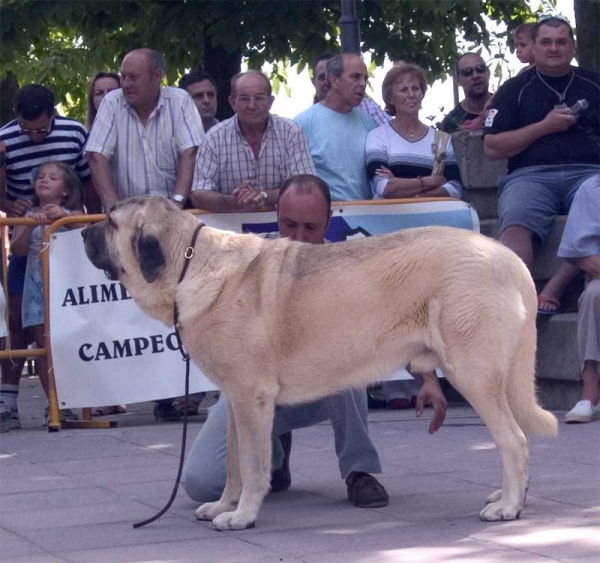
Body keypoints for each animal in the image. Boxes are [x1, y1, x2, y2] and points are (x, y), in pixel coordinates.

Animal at [81, 196, 556, 532]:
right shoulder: (236, 400)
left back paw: (508, 507)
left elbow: (252, 465)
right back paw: (509, 495)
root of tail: (508, 258)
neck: (188, 262)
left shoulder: (251, 398)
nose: (83, 234)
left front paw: (243, 516)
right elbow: (234, 463)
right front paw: (223, 505)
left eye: (110, 222)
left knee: (513, 440)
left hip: (472, 373)